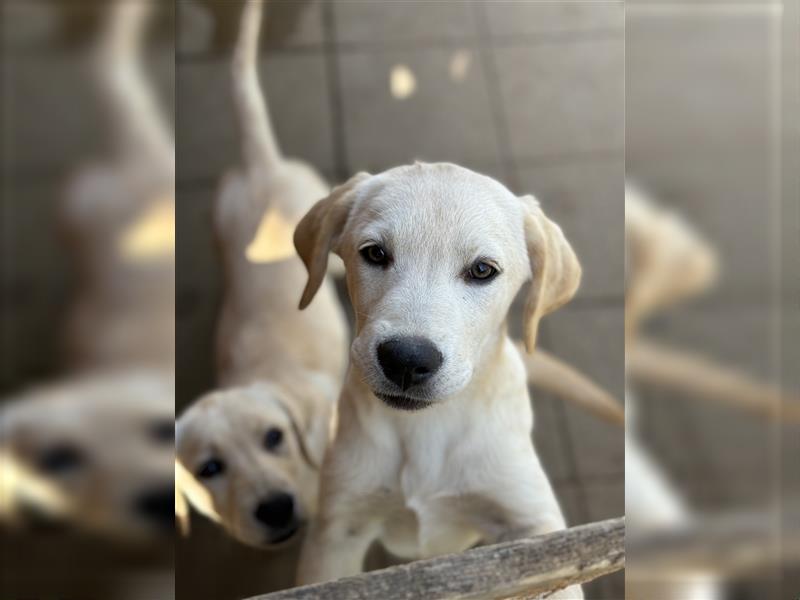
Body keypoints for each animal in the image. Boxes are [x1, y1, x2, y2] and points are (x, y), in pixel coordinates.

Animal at [296, 161, 584, 600]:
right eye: (375, 253)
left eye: (482, 270)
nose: (406, 359)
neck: (427, 426)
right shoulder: (337, 528)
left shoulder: (534, 523)